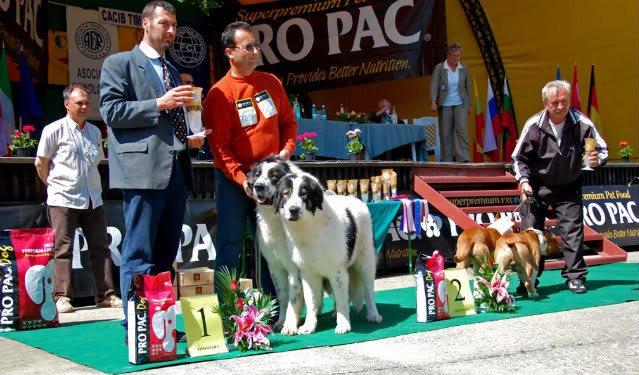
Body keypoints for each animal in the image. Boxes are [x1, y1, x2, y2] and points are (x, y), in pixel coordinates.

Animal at [246, 154, 306, 336]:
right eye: (257, 175)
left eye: (274, 176)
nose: (258, 186)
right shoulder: (275, 266)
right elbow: (284, 296)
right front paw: (281, 322)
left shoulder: (295, 268)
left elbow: (294, 297)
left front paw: (290, 325)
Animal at [272, 173, 382, 334]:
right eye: (286, 193)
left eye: (304, 194)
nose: (293, 209)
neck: (308, 228)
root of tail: (355, 199)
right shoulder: (308, 273)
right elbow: (311, 301)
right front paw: (309, 326)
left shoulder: (337, 270)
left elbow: (343, 300)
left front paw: (343, 324)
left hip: (365, 261)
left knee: (368, 290)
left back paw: (373, 315)